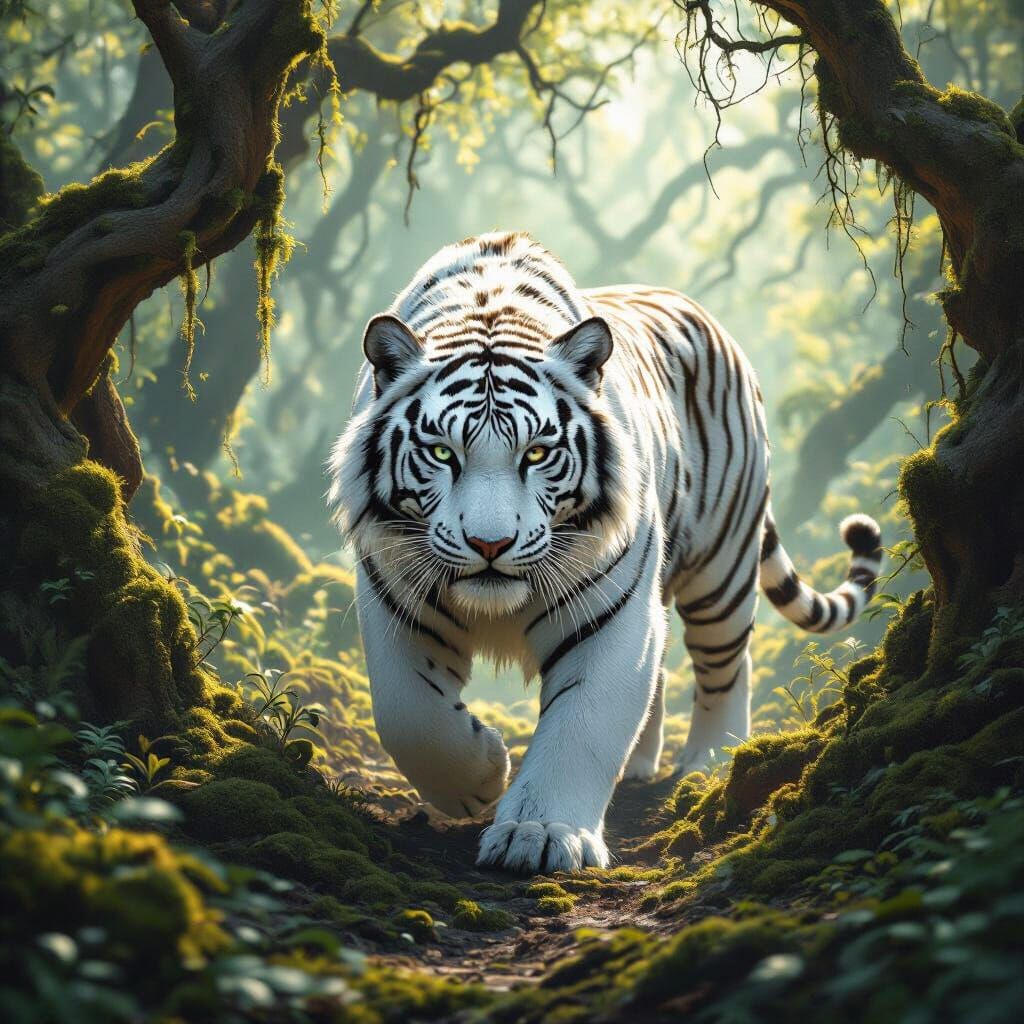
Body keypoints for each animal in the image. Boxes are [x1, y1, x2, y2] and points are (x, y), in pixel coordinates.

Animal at [328, 231, 882, 875]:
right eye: (442, 453)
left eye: (537, 453)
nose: (491, 544)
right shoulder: (396, 599)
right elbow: (407, 715)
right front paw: (481, 775)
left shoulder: (608, 613)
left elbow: (583, 726)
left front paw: (539, 834)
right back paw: (641, 763)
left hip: (720, 565)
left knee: (725, 663)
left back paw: (712, 761)